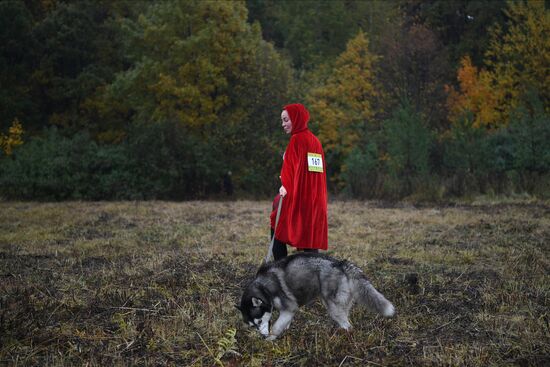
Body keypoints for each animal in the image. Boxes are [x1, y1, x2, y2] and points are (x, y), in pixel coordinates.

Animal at [238, 253, 396, 342]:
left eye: (259, 321)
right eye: (252, 326)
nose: (262, 336)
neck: (264, 288)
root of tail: (340, 263)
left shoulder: (290, 307)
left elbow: (277, 326)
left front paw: (271, 339)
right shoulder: (285, 311)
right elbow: (284, 323)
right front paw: (284, 331)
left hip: (333, 306)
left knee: (348, 325)